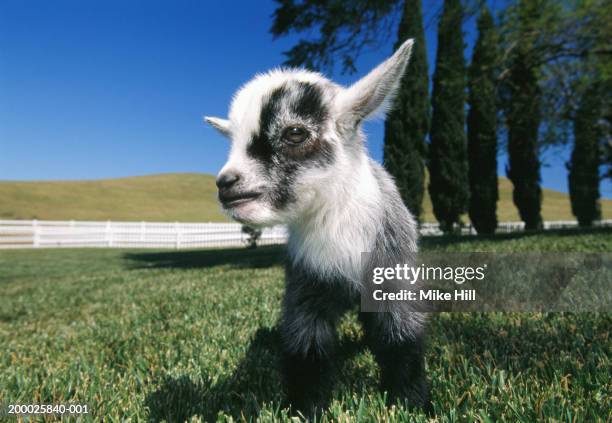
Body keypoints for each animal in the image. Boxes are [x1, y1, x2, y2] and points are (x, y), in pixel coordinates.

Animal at [206, 38, 430, 416]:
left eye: (294, 132)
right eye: (231, 141)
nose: (226, 184)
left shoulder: (392, 280)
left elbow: (400, 339)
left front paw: (413, 402)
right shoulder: (305, 288)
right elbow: (307, 350)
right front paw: (304, 408)